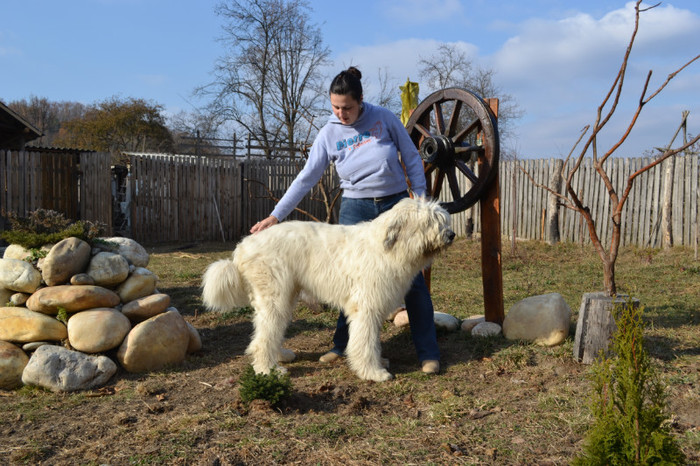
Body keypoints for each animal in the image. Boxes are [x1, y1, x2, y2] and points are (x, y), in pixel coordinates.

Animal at [201, 197, 454, 382]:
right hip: (274, 295)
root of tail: (243, 246)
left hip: (283, 296)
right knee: (264, 336)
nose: (451, 235)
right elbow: (365, 341)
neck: (388, 248)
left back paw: (280, 356)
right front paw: (374, 372)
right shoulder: (366, 308)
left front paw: (379, 363)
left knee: (267, 331)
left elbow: (371, 340)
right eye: (430, 221)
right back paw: (267, 370)